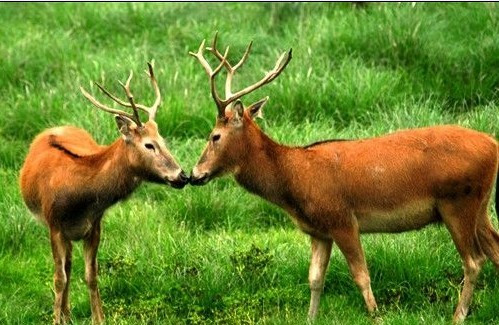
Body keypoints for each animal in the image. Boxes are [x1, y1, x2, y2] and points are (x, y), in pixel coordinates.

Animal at [18, 62, 188, 322]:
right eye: (149, 145)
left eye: (164, 140)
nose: (182, 176)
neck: (79, 196)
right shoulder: (54, 223)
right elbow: (59, 278)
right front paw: (56, 320)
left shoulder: (95, 225)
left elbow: (91, 275)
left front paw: (99, 318)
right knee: (65, 268)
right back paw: (64, 314)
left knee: (70, 264)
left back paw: (68, 313)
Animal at [188, 33, 499, 322]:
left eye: (214, 136)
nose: (194, 174)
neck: (293, 179)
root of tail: (493, 144)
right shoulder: (319, 231)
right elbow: (315, 280)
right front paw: (310, 318)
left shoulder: (342, 219)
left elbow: (361, 275)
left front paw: (377, 317)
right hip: (480, 204)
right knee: (495, 249)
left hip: (457, 201)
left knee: (474, 260)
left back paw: (458, 316)